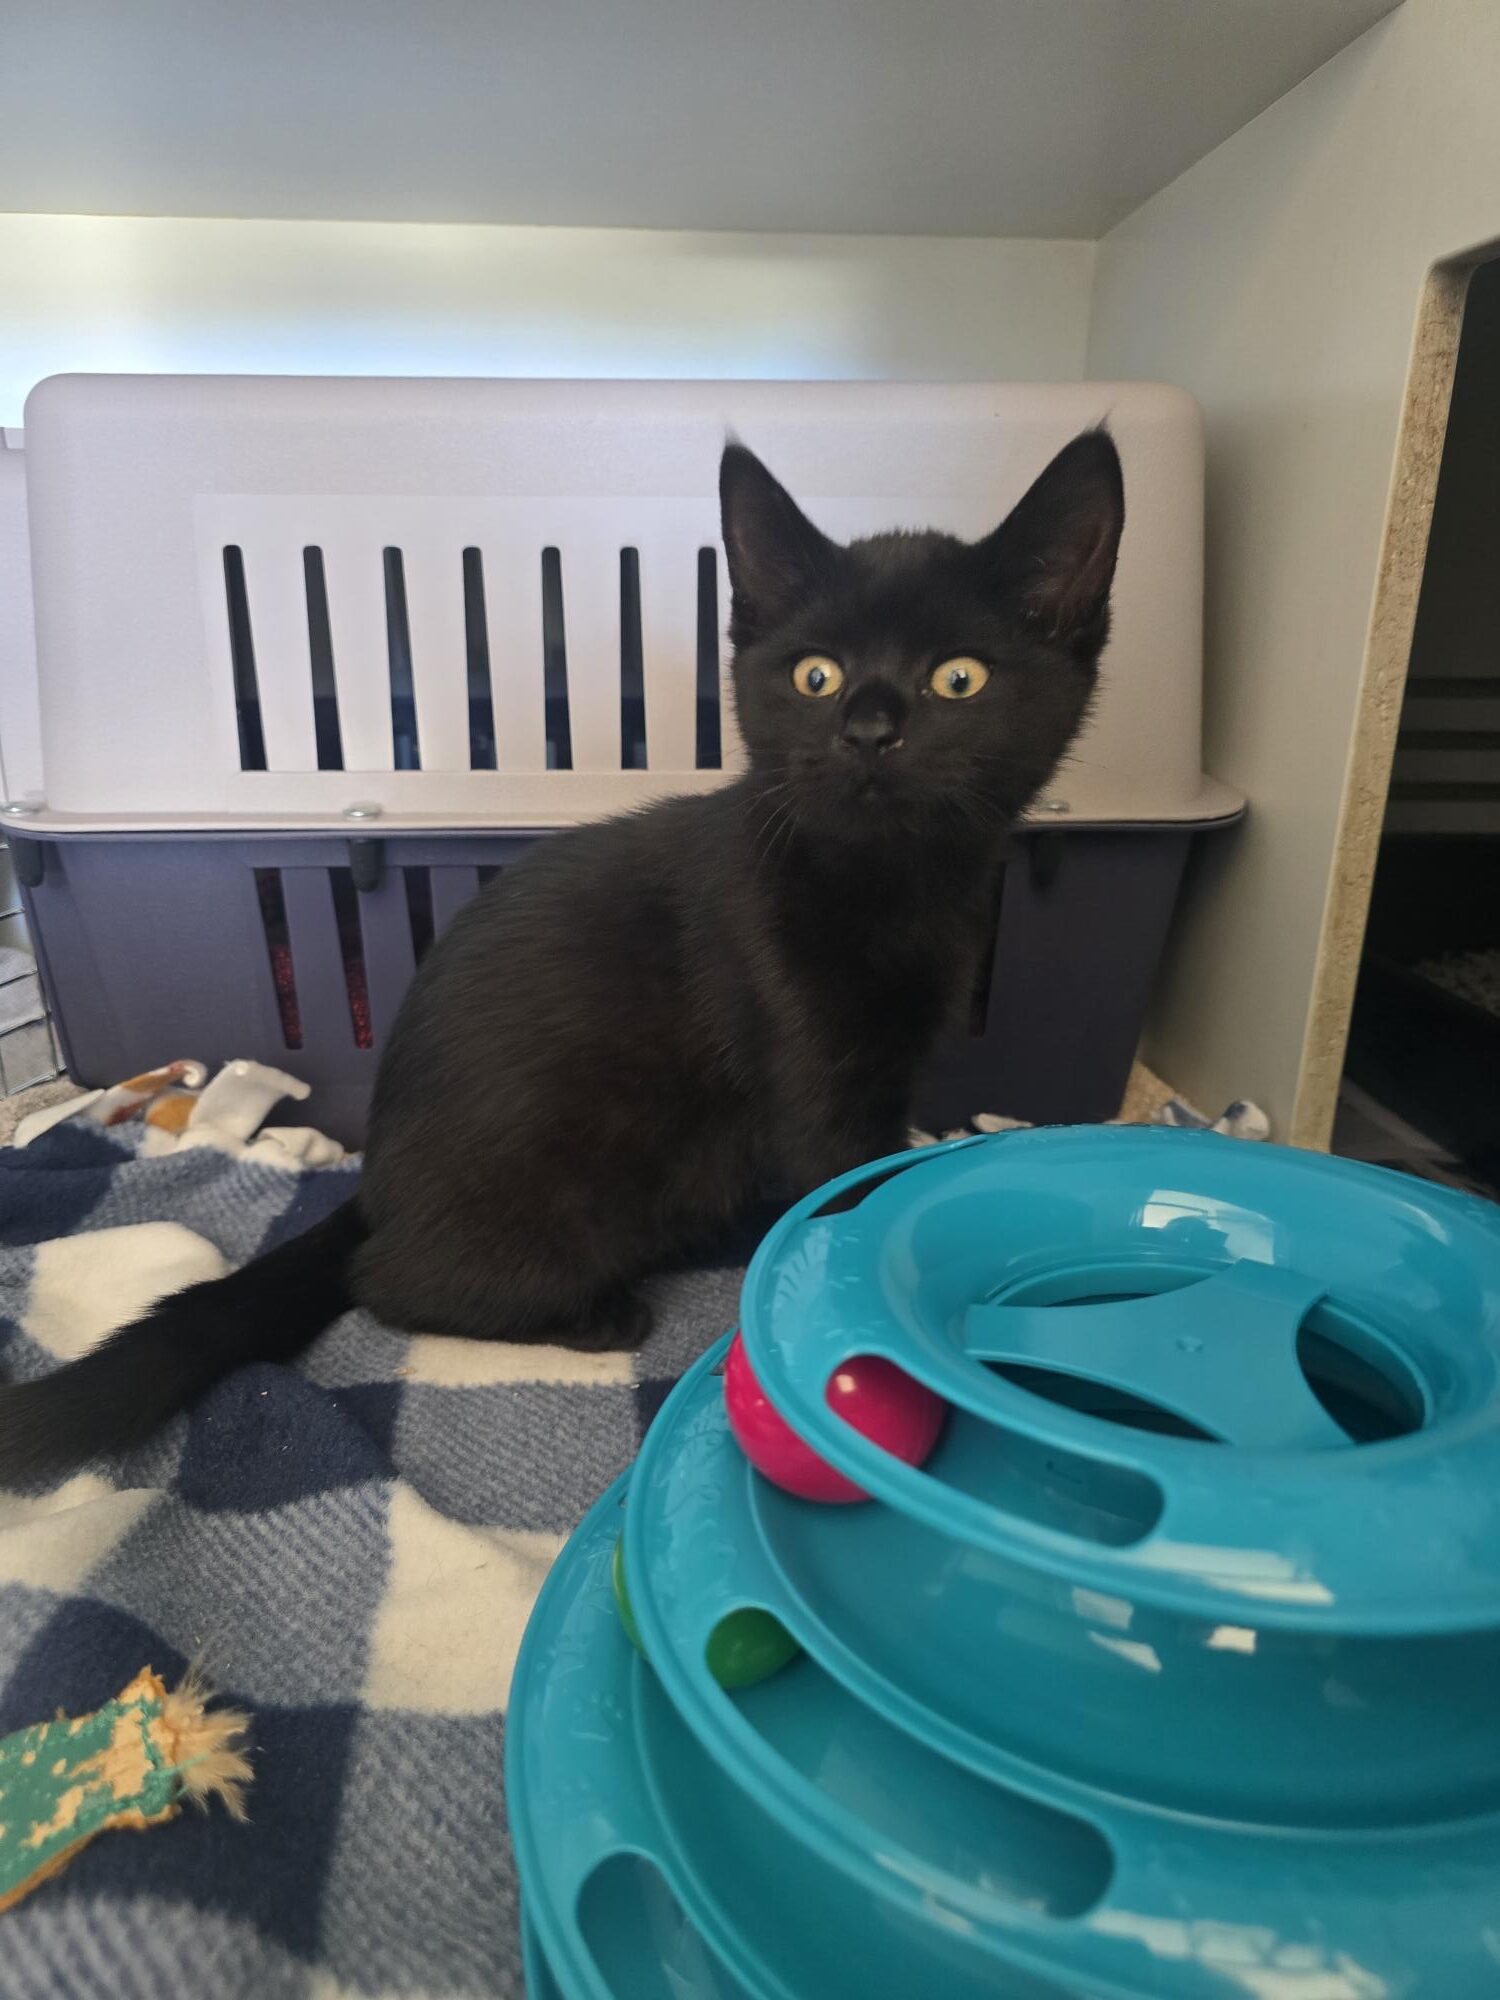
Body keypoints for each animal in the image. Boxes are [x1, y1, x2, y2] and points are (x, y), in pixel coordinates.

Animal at [0, 427, 1124, 1482]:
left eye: (958, 677)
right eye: (817, 675)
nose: (870, 728)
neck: (889, 888)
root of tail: (379, 1180)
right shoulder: (815, 1081)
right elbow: (842, 1191)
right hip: (578, 1187)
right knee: (391, 1285)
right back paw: (591, 1311)